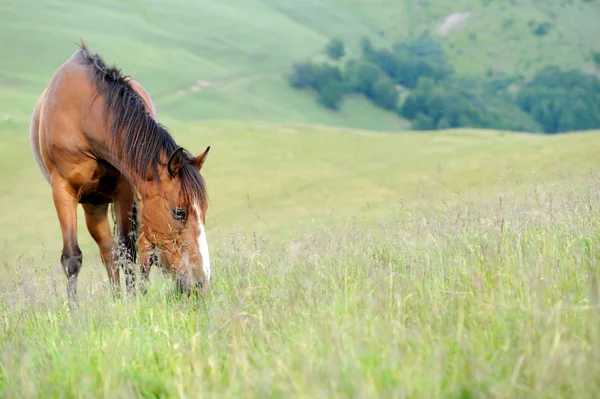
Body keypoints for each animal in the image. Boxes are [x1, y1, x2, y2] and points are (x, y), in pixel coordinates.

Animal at [30, 39, 214, 304]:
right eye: (179, 212)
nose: (200, 283)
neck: (84, 117)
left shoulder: (125, 188)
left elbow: (128, 250)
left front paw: (134, 301)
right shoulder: (62, 189)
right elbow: (72, 258)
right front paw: (74, 310)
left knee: (137, 250)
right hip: (93, 204)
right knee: (107, 250)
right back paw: (116, 297)